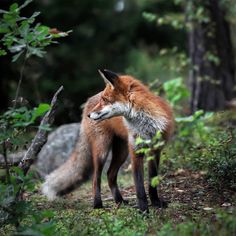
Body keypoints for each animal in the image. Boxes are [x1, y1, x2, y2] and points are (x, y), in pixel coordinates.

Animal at [41, 69, 173, 212]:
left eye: (105, 100)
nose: (89, 115)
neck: (146, 124)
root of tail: (89, 101)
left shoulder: (155, 150)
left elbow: (152, 181)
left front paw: (155, 202)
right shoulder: (135, 151)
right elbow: (139, 187)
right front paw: (143, 210)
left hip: (122, 152)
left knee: (110, 174)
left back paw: (119, 201)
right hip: (102, 151)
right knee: (96, 179)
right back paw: (98, 205)